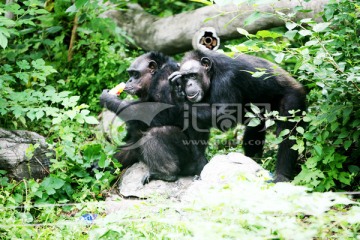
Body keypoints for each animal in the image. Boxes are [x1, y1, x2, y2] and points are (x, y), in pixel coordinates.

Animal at [100, 52, 208, 184]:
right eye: (130, 74)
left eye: (135, 74)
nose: (129, 80)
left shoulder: (164, 79)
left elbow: (164, 112)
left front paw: (109, 99)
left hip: (189, 159)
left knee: (156, 133)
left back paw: (166, 173)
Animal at [169, 50, 306, 182]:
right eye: (184, 78)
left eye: (193, 75)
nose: (189, 85)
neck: (212, 74)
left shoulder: (226, 80)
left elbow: (223, 116)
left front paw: (175, 95)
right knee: (254, 127)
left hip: (293, 101)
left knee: (288, 132)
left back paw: (281, 175)